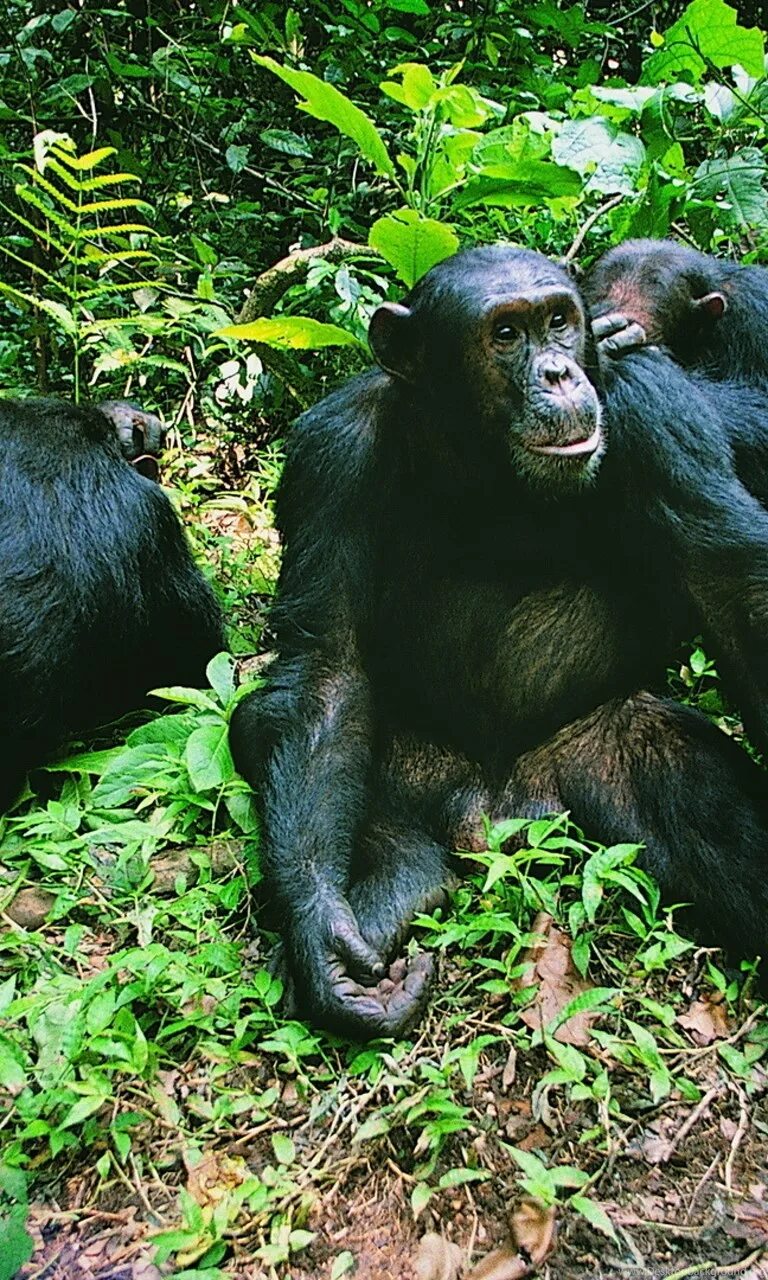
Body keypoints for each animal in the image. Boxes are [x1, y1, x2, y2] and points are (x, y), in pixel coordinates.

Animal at [229, 247, 768, 1039]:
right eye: (506, 334)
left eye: (559, 320)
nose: (560, 371)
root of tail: (494, 817)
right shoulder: (333, 451)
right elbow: (327, 667)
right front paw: (323, 938)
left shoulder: (658, 412)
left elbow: (735, 591)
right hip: (424, 769)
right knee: (269, 724)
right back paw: (397, 887)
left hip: (578, 759)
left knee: (683, 769)